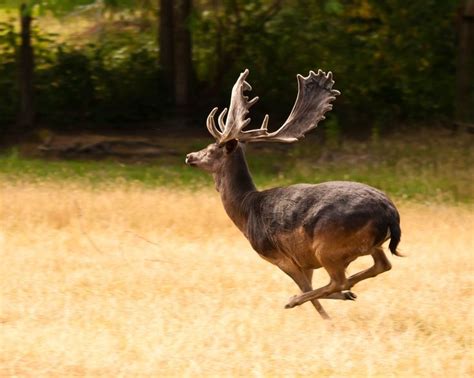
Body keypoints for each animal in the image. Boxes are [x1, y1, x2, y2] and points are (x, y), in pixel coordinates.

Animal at [185, 68, 400, 318]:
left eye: (211, 149)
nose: (190, 156)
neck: (246, 211)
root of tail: (391, 214)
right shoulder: (305, 261)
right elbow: (312, 286)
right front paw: (343, 298)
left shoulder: (280, 256)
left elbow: (308, 291)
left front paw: (319, 311)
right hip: (368, 245)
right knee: (381, 265)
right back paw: (348, 290)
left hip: (328, 245)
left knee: (338, 280)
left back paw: (297, 301)